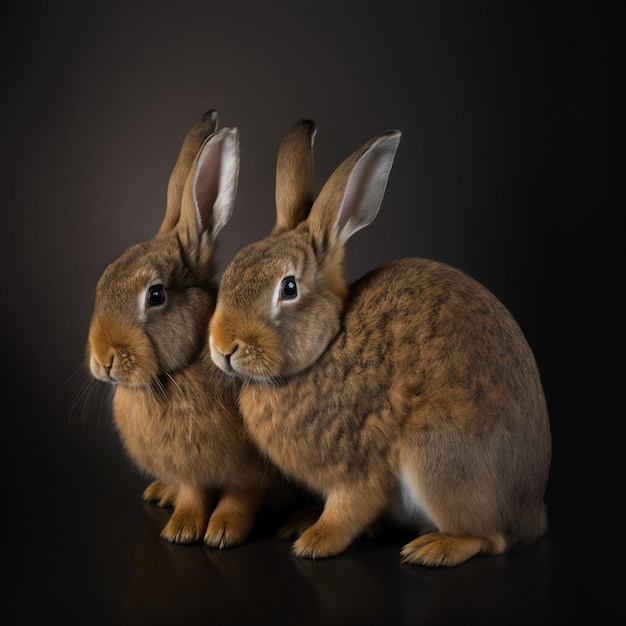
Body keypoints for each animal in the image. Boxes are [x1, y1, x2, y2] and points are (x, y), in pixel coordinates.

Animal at [86, 111, 274, 544]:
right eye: (104, 281)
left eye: (155, 295)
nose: (103, 360)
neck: (177, 371)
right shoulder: (191, 470)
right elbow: (192, 492)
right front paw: (183, 528)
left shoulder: (250, 471)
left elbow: (241, 496)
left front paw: (222, 532)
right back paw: (161, 493)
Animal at [208, 118, 552, 564]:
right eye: (233, 269)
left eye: (288, 287)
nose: (223, 347)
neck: (326, 347)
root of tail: (530, 515)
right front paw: (303, 524)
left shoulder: (359, 470)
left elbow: (349, 507)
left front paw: (314, 540)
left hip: (437, 458)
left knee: (490, 538)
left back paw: (431, 548)